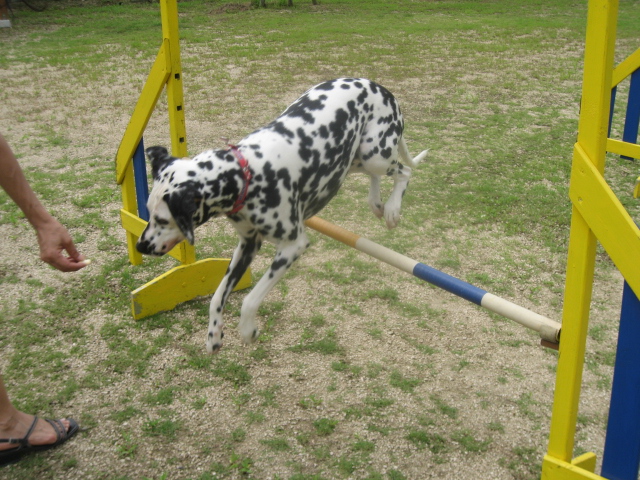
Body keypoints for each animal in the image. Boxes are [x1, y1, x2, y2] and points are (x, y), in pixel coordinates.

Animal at [137, 79, 428, 352]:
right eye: (149, 213)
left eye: (163, 220)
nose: (140, 245)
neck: (247, 174)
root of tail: (377, 86)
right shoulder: (247, 246)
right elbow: (217, 297)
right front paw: (214, 335)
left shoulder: (292, 247)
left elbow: (250, 300)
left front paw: (247, 330)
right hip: (352, 161)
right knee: (377, 175)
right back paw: (377, 203)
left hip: (375, 154)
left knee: (404, 172)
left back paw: (391, 209)